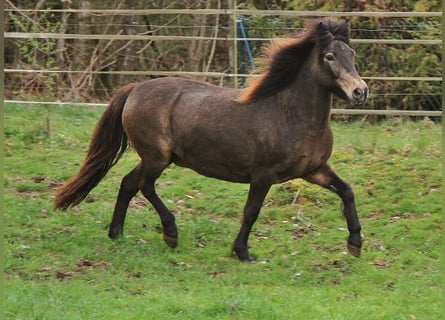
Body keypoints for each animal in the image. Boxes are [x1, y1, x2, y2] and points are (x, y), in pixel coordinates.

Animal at [54, 17, 368, 262]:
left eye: (352, 53)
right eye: (329, 56)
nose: (360, 92)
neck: (290, 115)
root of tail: (135, 89)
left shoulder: (314, 170)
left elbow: (348, 191)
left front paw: (355, 244)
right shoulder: (264, 174)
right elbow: (251, 211)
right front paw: (242, 252)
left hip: (156, 158)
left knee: (129, 183)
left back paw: (117, 233)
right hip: (157, 157)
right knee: (143, 185)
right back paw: (170, 234)